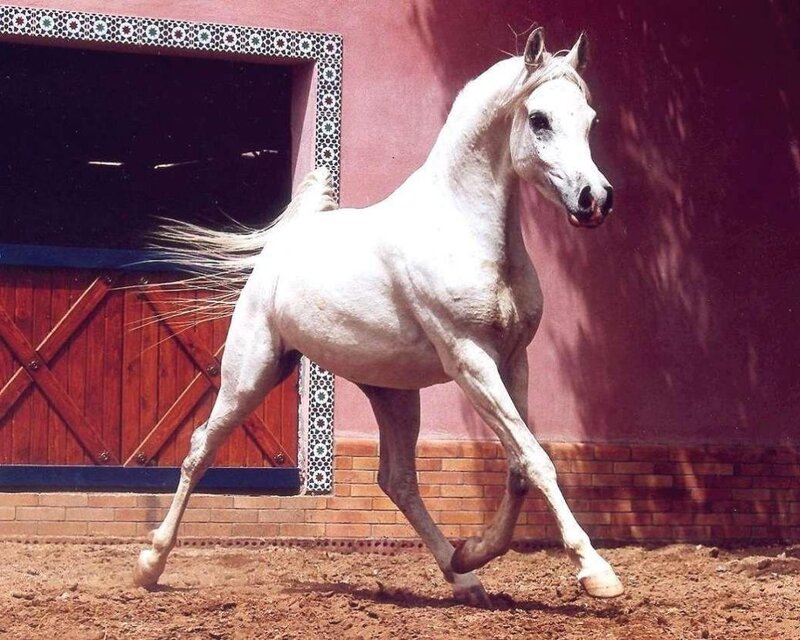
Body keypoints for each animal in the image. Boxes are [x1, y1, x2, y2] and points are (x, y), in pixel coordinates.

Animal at [133, 26, 622, 607]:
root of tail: (285, 243)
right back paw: (149, 565)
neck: (462, 229)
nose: (595, 199)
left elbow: (520, 464)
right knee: (200, 449)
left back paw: (462, 574)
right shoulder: (470, 361)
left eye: (590, 119)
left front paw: (475, 551)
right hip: (250, 375)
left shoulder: (513, 361)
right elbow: (536, 459)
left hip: (393, 393)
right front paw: (597, 572)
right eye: (540, 119)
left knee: (398, 480)